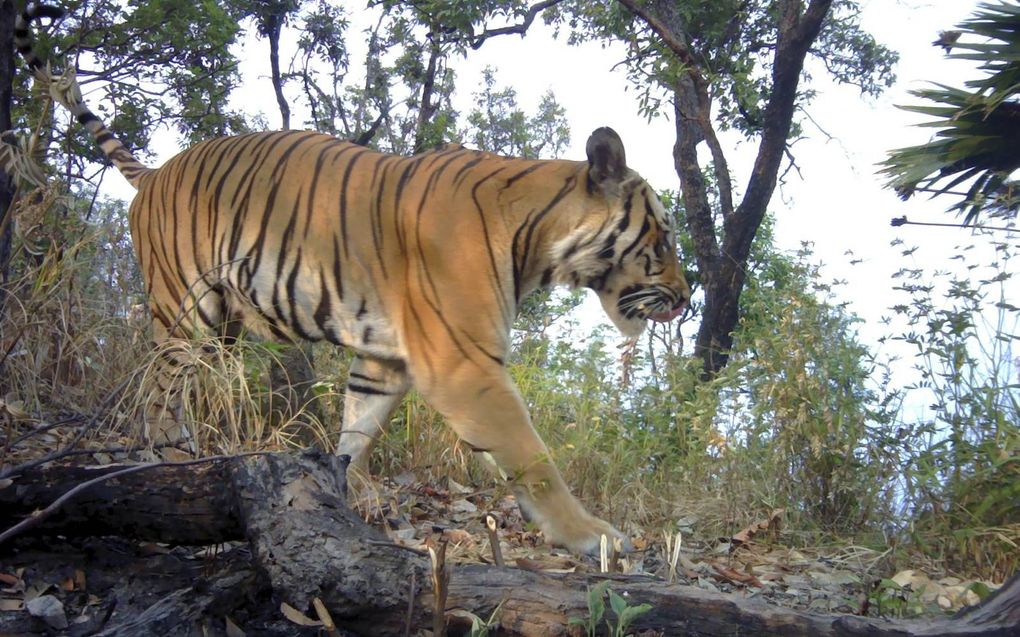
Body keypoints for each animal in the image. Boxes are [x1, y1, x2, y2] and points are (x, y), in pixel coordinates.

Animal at [15, 2, 689, 554]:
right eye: (663, 238)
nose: (685, 299)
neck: (536, 236)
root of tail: (155, 171)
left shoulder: (384, 359)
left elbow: (358, 430)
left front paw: (341, 492)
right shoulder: (465, 366)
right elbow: (533, 457)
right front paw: (593, 537)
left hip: (223, 326)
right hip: (185, 313)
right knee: (156, 389)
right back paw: (168, 457)